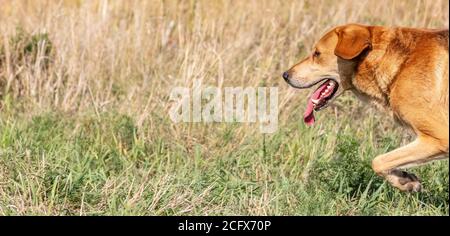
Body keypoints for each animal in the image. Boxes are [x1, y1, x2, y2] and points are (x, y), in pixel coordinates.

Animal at [284, 23, 448, 192]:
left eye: (317, 54)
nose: (285, 75)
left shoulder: (439, 138)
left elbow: (378, 161)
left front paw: (403, 180)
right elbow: (380, 161)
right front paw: (404, 178)